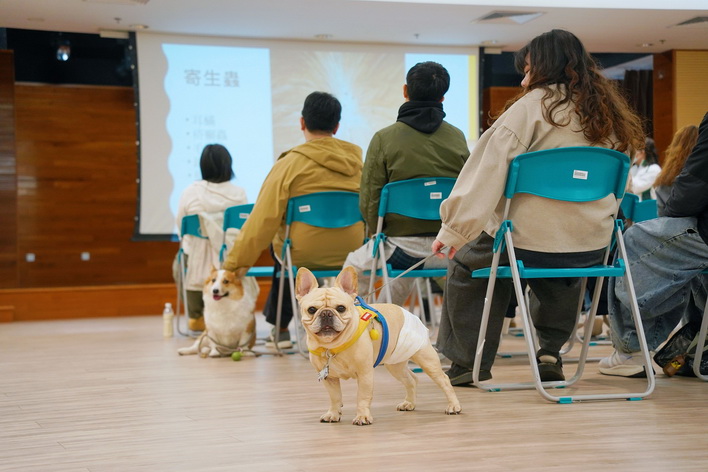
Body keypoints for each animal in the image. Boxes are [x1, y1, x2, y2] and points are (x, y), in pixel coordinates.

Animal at [295, 266, 461, 425]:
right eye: (312, 310)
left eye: (341, 308)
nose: (326, 313)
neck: (332, 346)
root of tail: (409, 313)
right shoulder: (329, 379)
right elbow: (335, 398)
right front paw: (333, 414)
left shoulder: (365, 374)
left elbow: (362, 397)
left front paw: (362, 416)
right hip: (395, 366)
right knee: (411, 379)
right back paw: (409, 403)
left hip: (427, 360)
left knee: (444, 380)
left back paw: (453, 406)